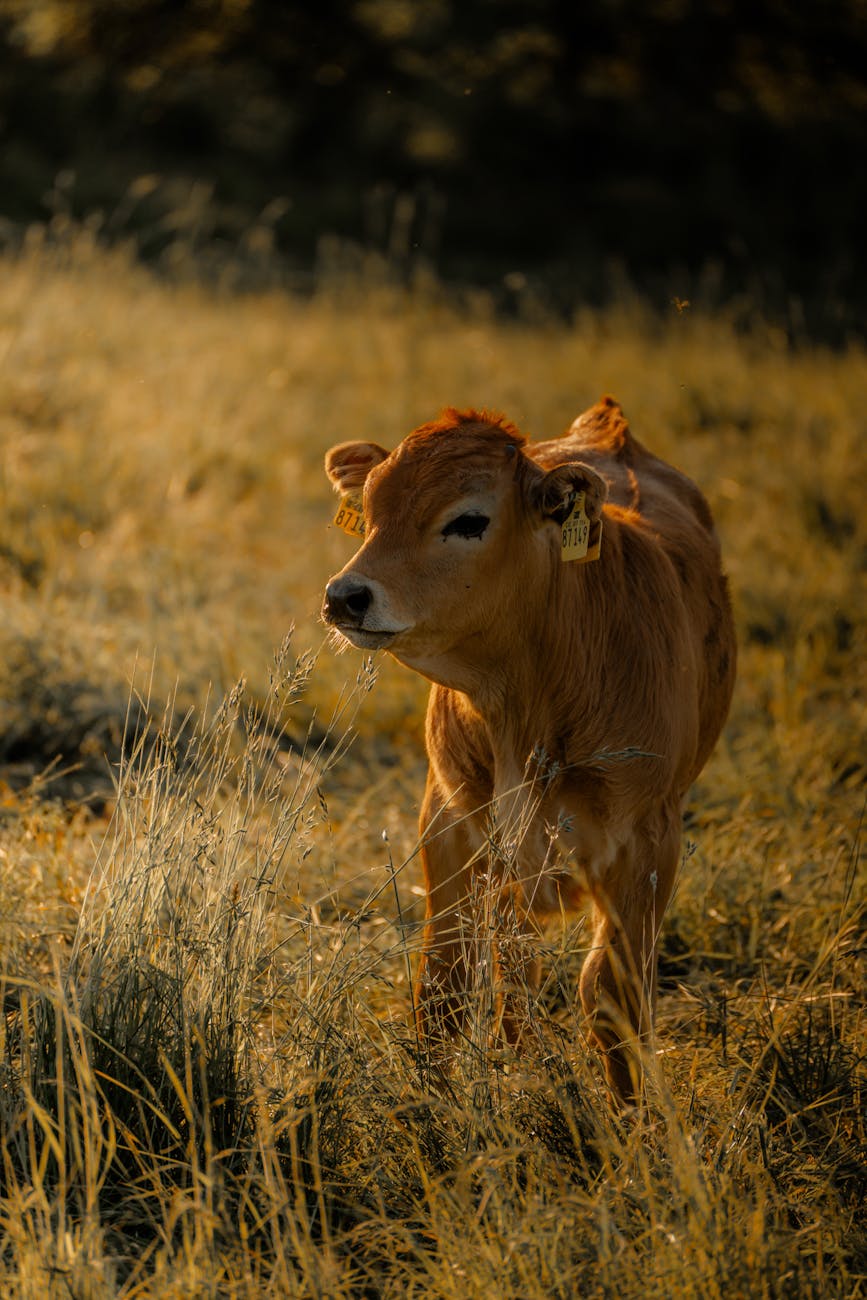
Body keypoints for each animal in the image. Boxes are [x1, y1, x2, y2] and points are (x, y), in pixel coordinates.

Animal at [322, 397, 735, 1101]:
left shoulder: (649, 840)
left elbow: (613, 997)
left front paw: (634, 1126)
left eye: (469, 520)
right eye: (371, 509)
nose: (346, 596)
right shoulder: (450, 817)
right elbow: (446, 985)